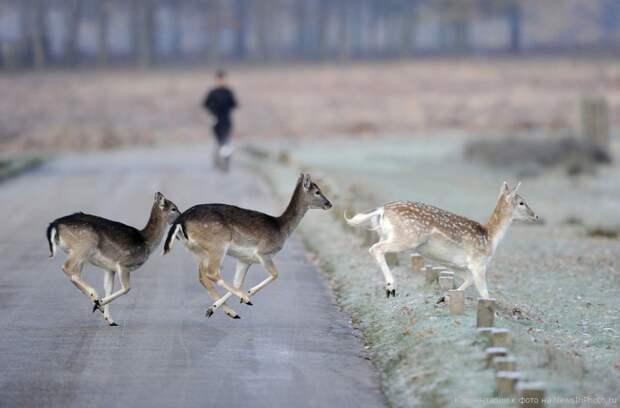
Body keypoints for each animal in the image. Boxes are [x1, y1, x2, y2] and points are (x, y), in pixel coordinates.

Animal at [46, 193, 179, 326]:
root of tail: (54, 225)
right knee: (67, 268)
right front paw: (100, 305)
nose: (180, 217)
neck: (146, 242)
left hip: (80, 253)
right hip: (83, 246)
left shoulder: (109, 268)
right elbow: (127, 288)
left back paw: (96, 302)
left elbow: (108, 288)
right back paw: (95, 298)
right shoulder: (123, 264)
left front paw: (110, 320)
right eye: (174, 208)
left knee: (74, 273)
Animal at [162, 172, 332, 318]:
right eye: (317, 191)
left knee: (202, 276)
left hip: (197, 250)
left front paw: (215, 307)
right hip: (217, 244)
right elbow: (275, 274)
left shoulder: (245, 259)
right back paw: (243, 300)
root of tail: (181, 221)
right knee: (212, 273)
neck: (281, 229)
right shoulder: (264, 252)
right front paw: (248, 294)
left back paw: (226, 312)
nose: (329, 204)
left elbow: (238, 282)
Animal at [344, 182, 536, 300]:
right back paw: (391, 287)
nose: (535, 216)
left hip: (386, 234)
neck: (490, 237)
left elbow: (469, 280)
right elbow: (484, 292)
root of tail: (382, 210)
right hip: (407, 237)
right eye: (521, 202)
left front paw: (445, 298)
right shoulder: (478, 262)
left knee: (376, 248)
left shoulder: (456, 264)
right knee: (375, 248)